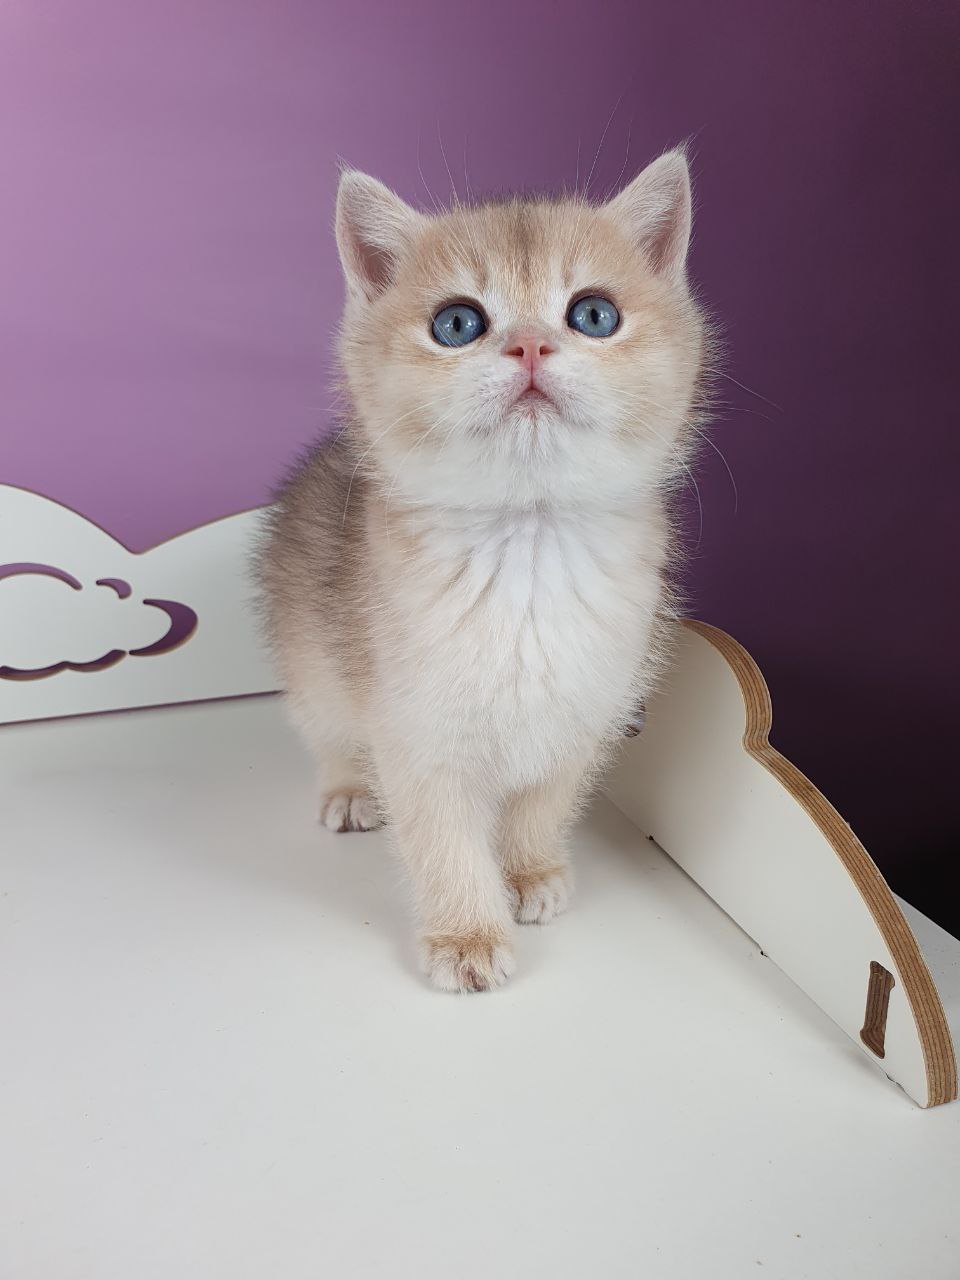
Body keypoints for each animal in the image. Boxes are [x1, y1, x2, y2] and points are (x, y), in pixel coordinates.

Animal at [256, 149, 707, 992]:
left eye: (593, 315)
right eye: (458, 324)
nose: (529, 346)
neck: (527, 546)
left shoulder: (585, 712)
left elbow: (542, 803)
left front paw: (530, 872)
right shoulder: (415, 731)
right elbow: (443, 841)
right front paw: (466, 933)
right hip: (311, 664)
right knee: (326, 729)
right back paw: (348, 790)